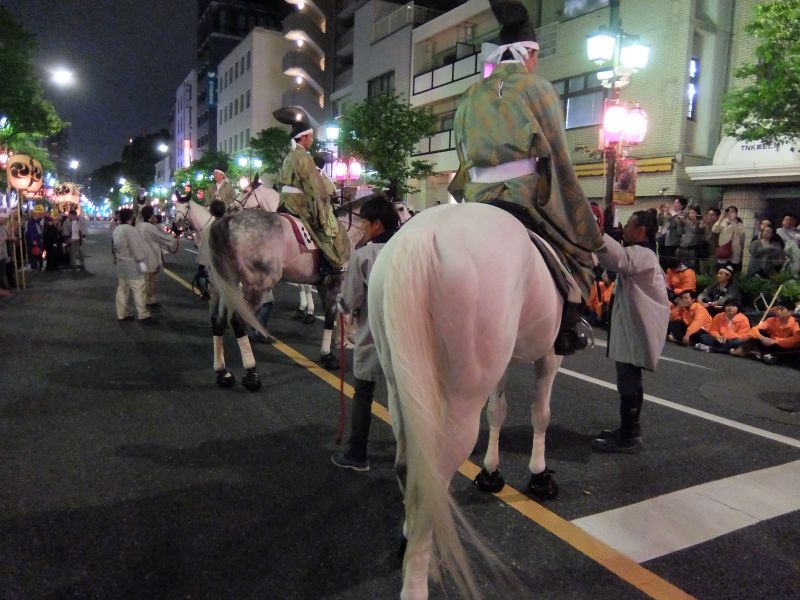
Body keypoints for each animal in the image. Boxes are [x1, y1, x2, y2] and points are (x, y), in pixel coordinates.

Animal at [173, 195, 262, 392]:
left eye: (185, 207)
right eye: (174, 205)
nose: (174, 226)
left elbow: (233, 322)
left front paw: (249, 374)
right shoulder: (216, 284)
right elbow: (217, 321)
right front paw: (223, 372)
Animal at [367, 202, 563, 600]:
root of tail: (422, 236)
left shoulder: (500, 367)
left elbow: (498, 412)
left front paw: (491, 470)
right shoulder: (550, 354)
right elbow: (541, 413)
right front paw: (539, 474)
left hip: (401, 389)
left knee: (410, 465)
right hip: (459, 404)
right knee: (431, 481)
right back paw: (416, 583)